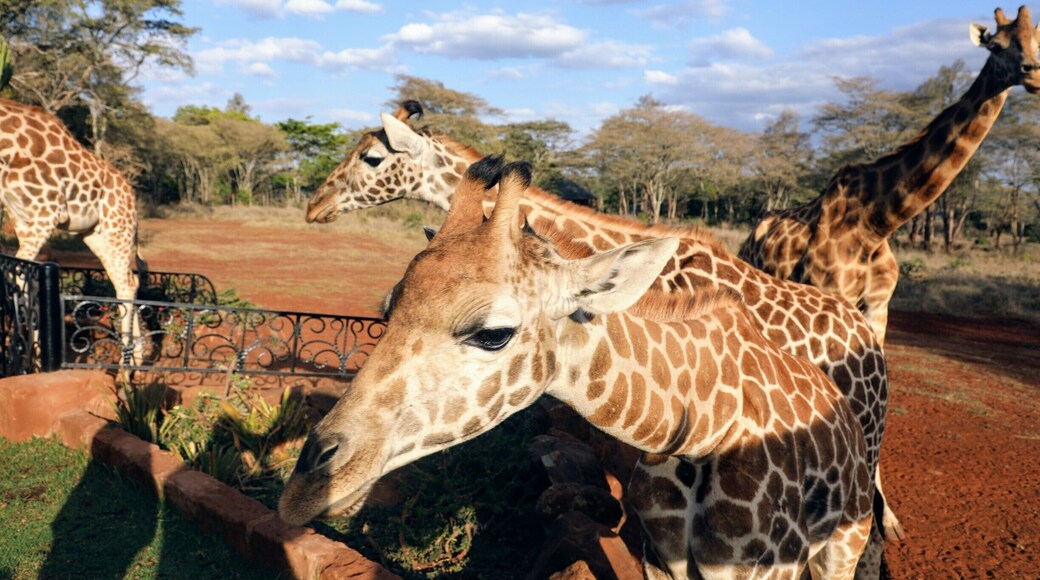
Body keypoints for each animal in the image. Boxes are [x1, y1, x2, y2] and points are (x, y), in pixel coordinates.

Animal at [0, 98, 142, 310]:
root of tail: (132, 196)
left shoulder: (47, 214)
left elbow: (21, 272)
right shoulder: (20, 218)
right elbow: (23, 274)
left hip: (119, 231)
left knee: (127, 284)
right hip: (95, 235)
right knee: (126, 280)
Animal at [738, 6, 1040, 347]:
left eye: (1037, 44)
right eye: (997, 47)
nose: (1033, 74)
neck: (877, 224)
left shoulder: (878, 307)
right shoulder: (830, 296)